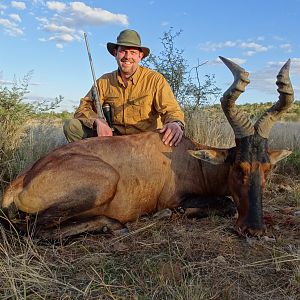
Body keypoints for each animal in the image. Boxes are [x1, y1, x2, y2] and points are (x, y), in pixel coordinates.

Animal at [0, 56, 292, 239]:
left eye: (267, 168)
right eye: (238, 167)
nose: (253, 229)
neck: (188, 156)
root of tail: (23, 177)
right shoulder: (177, 198)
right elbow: (225, 204)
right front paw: (168, 213)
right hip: (104, 182)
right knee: (34, 230)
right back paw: (113, 226)